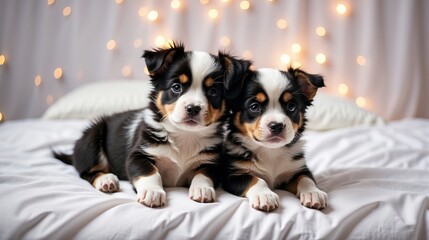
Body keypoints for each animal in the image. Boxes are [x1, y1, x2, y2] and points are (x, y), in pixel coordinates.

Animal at [56, 42, 251, 207]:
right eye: (176, 87)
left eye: (213, 92)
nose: (193, 108)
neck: (185, 136)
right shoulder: (138, 155)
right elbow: (149, 172)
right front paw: (152, 192)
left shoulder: (212, 161)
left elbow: (203, 174)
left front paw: (202, 189)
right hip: (91, 138)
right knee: (86, 171)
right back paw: (106, 180)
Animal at [221, 66, 328, 211]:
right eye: (254, 107)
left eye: (291, 106)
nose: (277, 126)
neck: (270, 152)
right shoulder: (232, 175)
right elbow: (255, 179)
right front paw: (264, 195)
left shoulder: (298, 168)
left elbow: (306, 178)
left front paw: (313, 193)